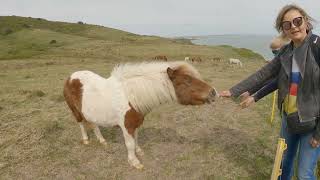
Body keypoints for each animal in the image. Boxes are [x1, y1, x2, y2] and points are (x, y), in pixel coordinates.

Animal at [62, 61, 218, 169]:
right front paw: (134, 162)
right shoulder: (127, 126)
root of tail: (71, 77)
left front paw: (139, 152)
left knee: (94, 124)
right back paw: (86, 140)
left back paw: (102, 141)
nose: (213, 92)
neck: (131, 96)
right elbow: (129, 144)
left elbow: (136, 139)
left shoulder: (135, 124)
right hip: (75, 111)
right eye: (187, 80)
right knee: (81, 124)